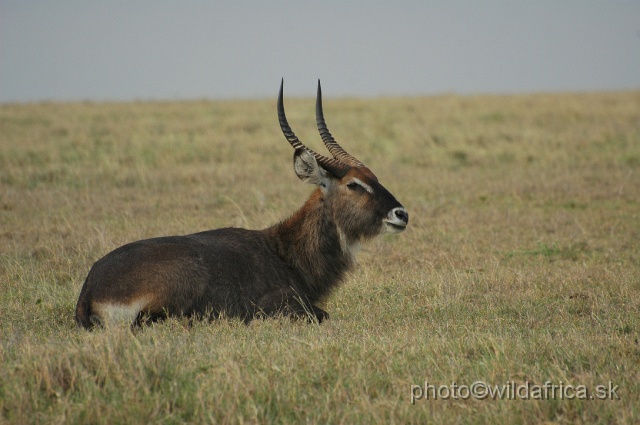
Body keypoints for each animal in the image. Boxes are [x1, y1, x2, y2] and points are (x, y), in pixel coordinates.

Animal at [75, 80, 408, 328]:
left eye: (374, 177)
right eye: (354, 184)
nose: (401, 214)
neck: (285, 251)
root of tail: (89, 288)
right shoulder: (281, 304)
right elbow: (322, 314)